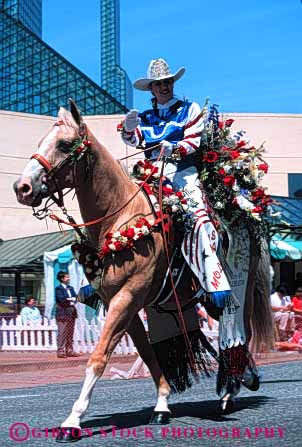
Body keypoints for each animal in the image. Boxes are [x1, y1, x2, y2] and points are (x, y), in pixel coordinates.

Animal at [14, 100, 272, 440]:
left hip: (235, 291)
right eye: (41, 141)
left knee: (240, 332)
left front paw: (73, 420)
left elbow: (98, 358)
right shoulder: (122, 302)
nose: (22, 187)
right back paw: (244, 379)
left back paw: (231, 389)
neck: (120, 217)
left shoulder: (128, 297)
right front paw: (162, 404)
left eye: (64, 144)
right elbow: (148, 353)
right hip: (204, 302)